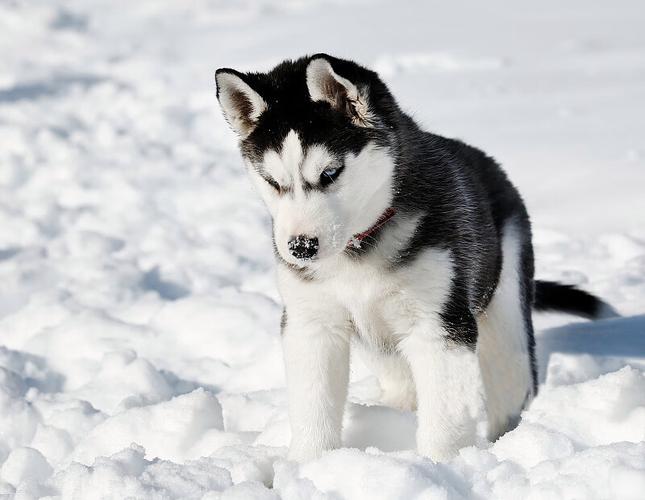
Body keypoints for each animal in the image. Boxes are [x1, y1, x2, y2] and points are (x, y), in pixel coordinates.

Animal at [214, 54, 616, 460]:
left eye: (330, 173)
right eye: (273, 182)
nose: (300, 247)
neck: (360, 247)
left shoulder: (440, 325)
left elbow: (444, 420)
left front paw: (441, 465)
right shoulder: (312, 323)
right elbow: (313, 408)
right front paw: (309, 463)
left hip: (506, 314)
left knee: (509, 381)